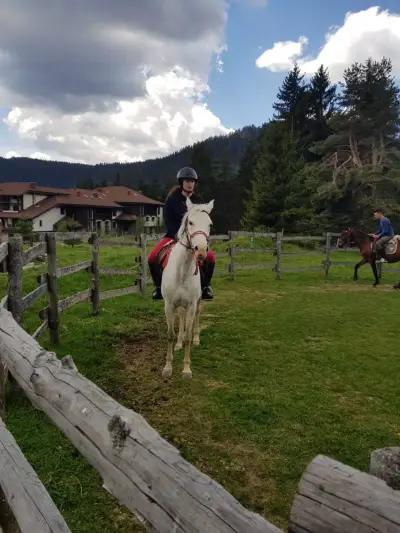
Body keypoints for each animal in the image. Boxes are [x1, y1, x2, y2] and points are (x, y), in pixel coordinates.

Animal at [161, 198, 214, 378]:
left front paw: (186, 369)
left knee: (196, 316)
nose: (202, 251)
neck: (182, 270)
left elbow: (188, 338)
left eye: (210, 224)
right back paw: (178, 343)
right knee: (181, 318)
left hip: (197, 302)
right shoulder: (169, 305)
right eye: (190, 222)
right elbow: (170, 335)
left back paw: (197, 338)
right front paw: (167, 367)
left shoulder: (191, 305)